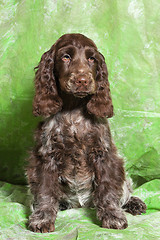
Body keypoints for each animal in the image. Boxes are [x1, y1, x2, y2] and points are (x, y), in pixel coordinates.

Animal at [26, 33, 146, 232]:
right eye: (66, 57)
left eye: (92, 59)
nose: (82, 80)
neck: (73, 111)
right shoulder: (46, 156)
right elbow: (45, 191)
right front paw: (42, 218)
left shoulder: (104, 155)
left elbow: (108, 190)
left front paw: (112, 216)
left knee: (125, 190)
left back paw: (134, 203)